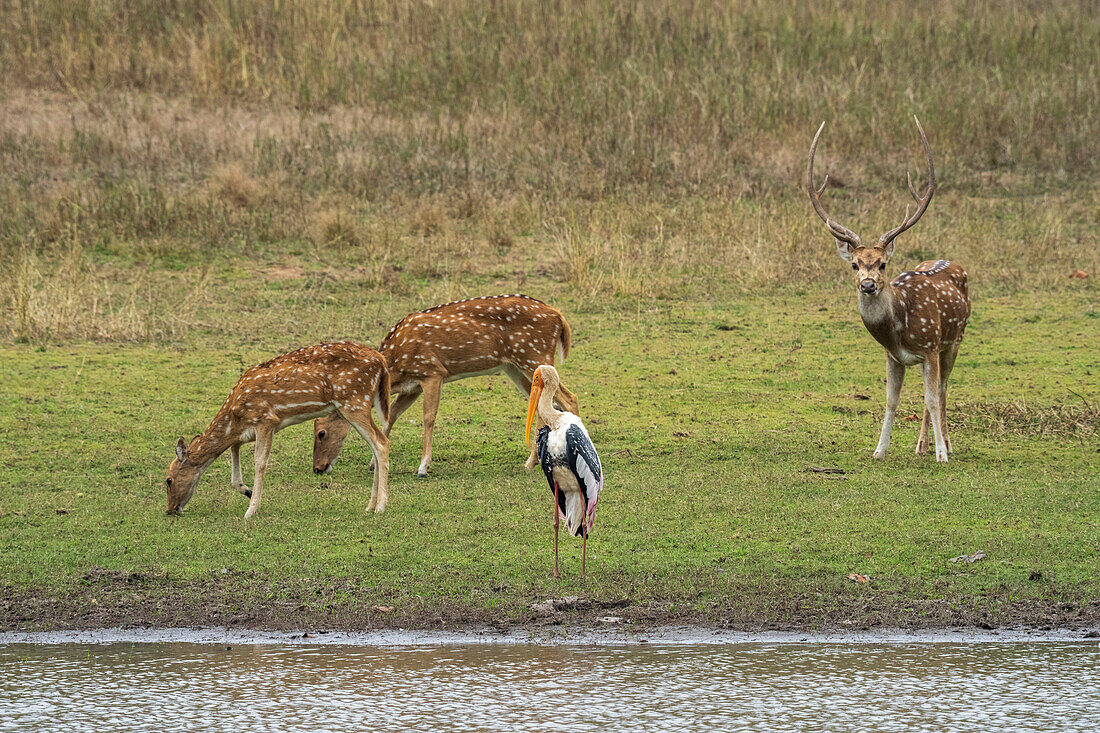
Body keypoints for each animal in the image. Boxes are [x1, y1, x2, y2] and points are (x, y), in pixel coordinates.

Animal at [160, 341, 389, 517]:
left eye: (168, 480)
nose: (170, 509)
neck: (235, 418)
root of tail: (382, 362)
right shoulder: (243, 435)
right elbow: (234, 460)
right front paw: (247, 491)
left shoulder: (266, 419)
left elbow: (259, 462)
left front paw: (251, 510)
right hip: (357, 404)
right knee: (376, 444)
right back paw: (369, 505)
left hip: (354, 401)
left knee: (381, 443)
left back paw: (380, 507)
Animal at [314, 294, 580, 477]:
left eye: (321, 432)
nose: (317, 468)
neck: (396, 365)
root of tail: (559, 318)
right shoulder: (412, 386)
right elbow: (391, 417)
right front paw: (373, 463)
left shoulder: (432, 372)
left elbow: (428, 416)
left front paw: (423, 467)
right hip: (515, 366)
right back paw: (531, 462)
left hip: (534, 354)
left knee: (569, 398)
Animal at [809, 118, 972, 462]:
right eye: (854, 264)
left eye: (883, 264)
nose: (868, 284)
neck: (899, 327)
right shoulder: (892, 356)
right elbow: (891, 400)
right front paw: (879, 450)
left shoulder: (930, 347)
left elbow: (933, 397)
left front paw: (942, 454)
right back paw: (922, 445)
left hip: (955, 339)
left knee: (941, 389)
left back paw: (943, 444)